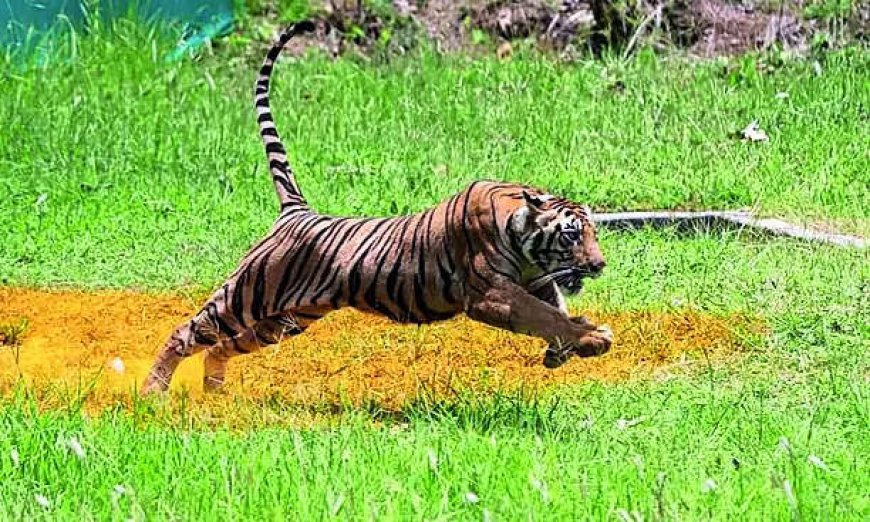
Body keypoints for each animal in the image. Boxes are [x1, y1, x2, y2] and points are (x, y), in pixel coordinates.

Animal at [141, 21, 613, 394]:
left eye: (593, 233)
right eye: (572, 234)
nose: (599, 265)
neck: (523, 236)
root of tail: (296, 210)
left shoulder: (537, 281)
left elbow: (555, 308)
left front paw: (571, 346)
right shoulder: (492, 295)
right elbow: (543, 316)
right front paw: (589, 337)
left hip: (287, 319)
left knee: (222, 346)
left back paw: (215, 390)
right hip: (246, 294)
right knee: (187, 332)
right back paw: (151, 393)